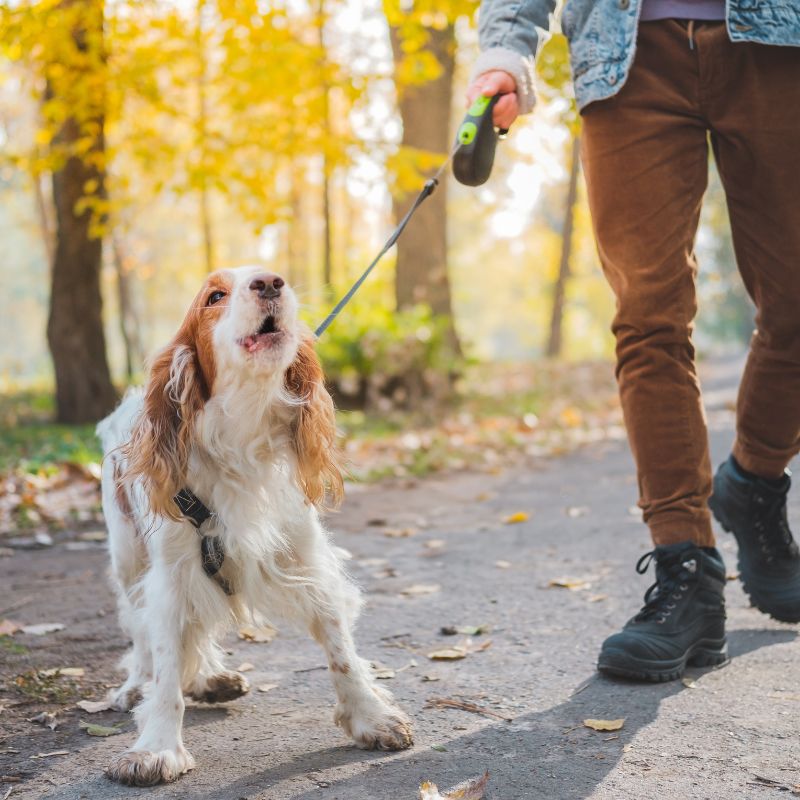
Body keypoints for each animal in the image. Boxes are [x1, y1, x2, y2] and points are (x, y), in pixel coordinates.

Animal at [95, 268, 412, 788]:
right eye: (215, 296)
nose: (270, 282)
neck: (241, 434)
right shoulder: (172, 576)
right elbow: (165, 665)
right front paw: (156, 748)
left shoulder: (306, 559)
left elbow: (340, 648)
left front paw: (370, 716)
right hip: (128, 557)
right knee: (139, 631)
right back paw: (137, 684)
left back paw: (210, 678)